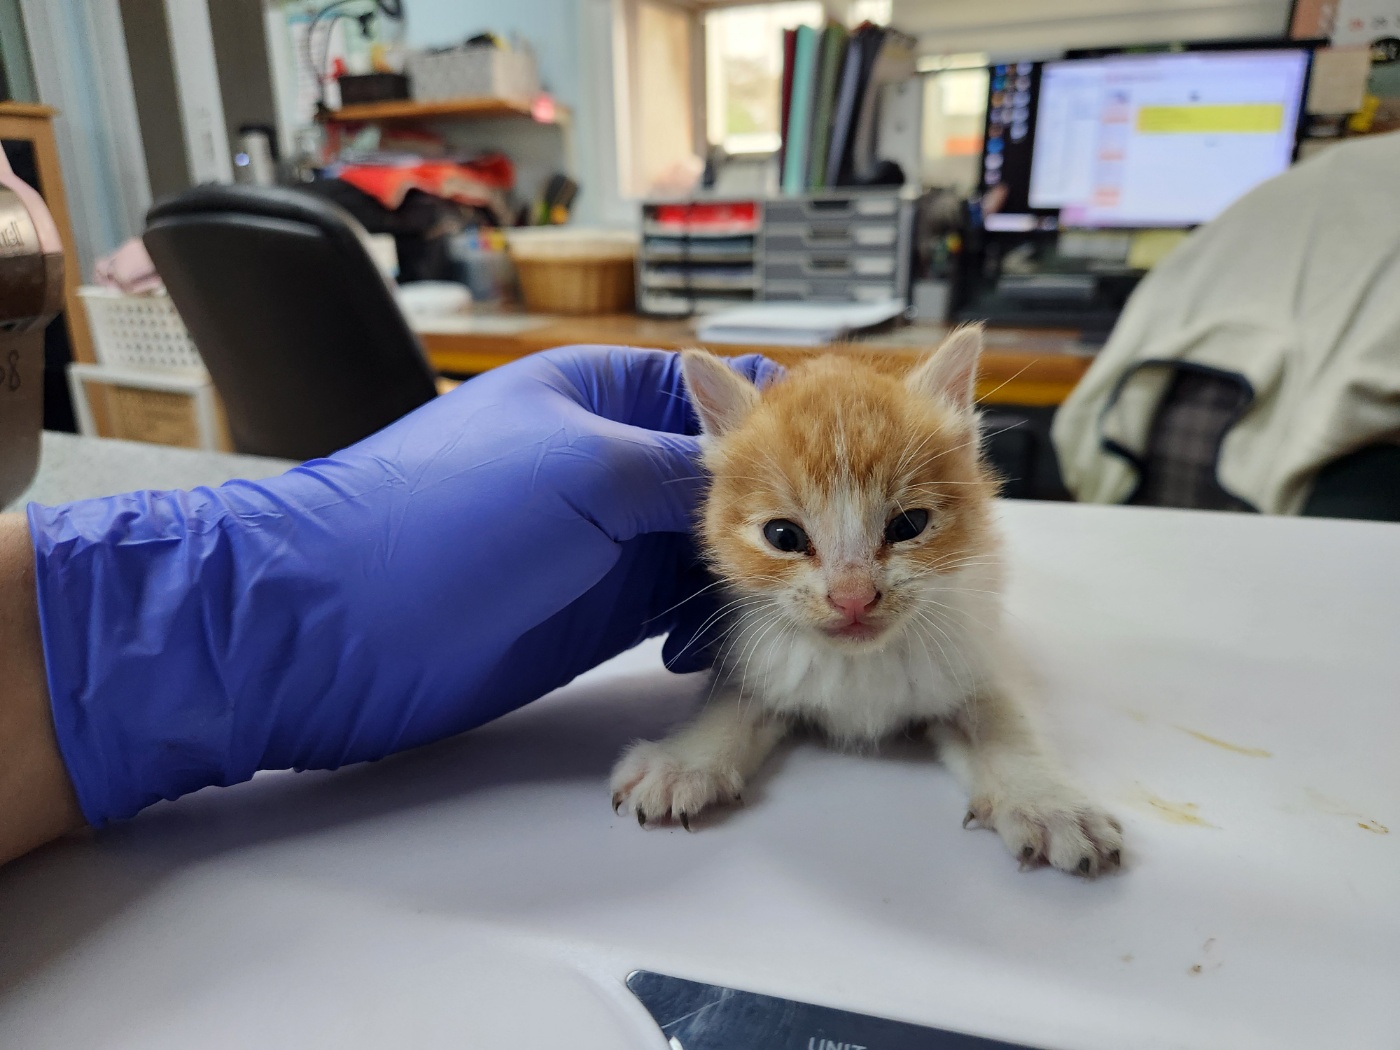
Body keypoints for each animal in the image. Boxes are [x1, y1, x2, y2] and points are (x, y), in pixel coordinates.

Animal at [613, 330, 1125, 879]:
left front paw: (1048, 802)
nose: (852, 596)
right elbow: (730, 702)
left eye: (909, 526)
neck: (859, 666)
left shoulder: (970, 654)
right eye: (782, 536)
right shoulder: (760, 655)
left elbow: (1002, 722)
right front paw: (681, 763)